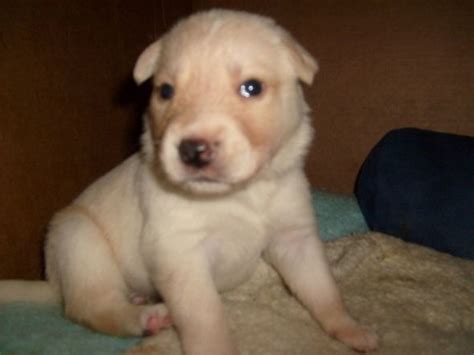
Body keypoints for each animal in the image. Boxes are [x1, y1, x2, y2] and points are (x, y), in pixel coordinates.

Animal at [0, 9, 378, 354]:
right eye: (166, 91)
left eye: (252, 87)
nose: (193, 150)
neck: (240, 195)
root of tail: (54, 283)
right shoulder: (180, 256)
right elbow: (206, 319)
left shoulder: (294, 237)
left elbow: (323, 289)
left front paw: (353, 331)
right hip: (78, 241)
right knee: (90, 307)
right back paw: (147, 317)